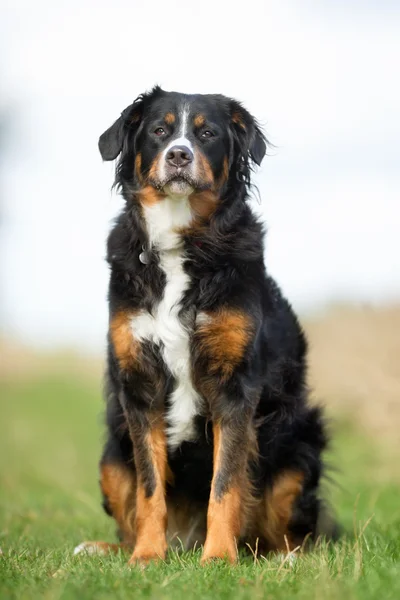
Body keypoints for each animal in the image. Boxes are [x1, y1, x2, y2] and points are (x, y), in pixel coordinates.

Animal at [74, 86, 334, 564]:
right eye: (159, 131)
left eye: (207, 133)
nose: (179, 155)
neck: (182, 242)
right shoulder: (139, 385)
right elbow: (150, 487)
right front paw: (147, 556)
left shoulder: (234, 386)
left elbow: (226, 483)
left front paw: (218, 559)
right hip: (110, 456)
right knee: (128, 515)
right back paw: (107, 548)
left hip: (297, 450)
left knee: (284, 535)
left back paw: (284, 557)